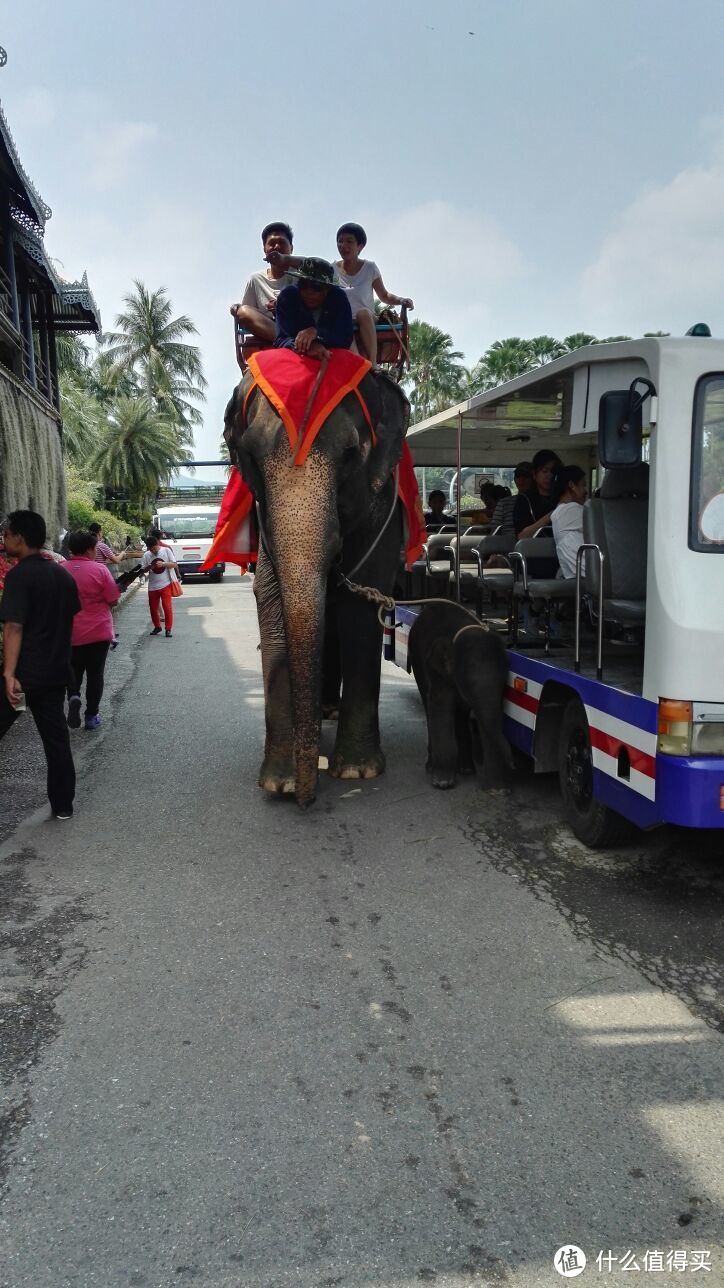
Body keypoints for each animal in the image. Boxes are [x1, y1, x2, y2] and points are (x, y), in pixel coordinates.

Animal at [222, 363, 409, 803]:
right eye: (251, 455)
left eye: (350, 454)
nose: (306, 800)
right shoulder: (264, 522)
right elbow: (270, 597)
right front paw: (280, 782)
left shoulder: (382, 506)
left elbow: (361, 607)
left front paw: (358, 772)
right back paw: (323, 711)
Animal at [407, 605, 512, 793]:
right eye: (469, 684)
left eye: (504, 685)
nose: (513, 763)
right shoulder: (437, 672)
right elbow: (440, 706)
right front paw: (442, 783)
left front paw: (498, 790)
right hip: (416, 657)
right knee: (427, 705)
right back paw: (431, 767)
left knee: (461, 715)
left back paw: (466, 769)